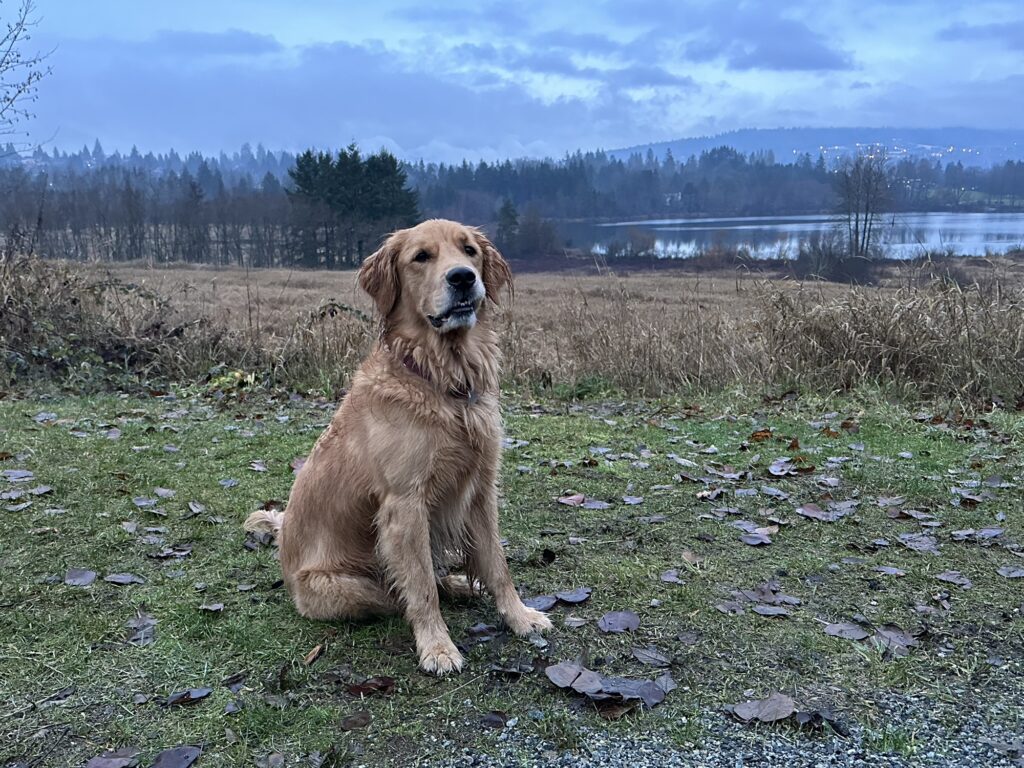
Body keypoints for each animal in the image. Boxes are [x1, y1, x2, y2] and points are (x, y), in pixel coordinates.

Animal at [243, 217, 552, 671]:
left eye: (470, 250)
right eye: (421, 257)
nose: (463, 277)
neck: (442, 380)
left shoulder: (481, 489)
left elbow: (497, 565)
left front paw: (520, 617)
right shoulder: (405, 504)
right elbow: (420, 587)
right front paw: (438, 648)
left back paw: (459, 583)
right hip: (346, 586)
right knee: (399, 592)